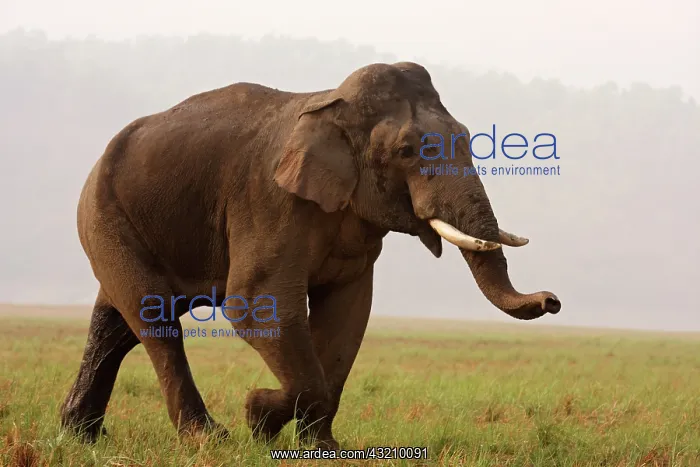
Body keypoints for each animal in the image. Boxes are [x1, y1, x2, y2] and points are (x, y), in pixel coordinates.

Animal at [60, 61, 561, 450]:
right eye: (405, 151)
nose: (552, 301)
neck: (333, 105)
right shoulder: (269, 200)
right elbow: (257, 304)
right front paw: (257, 417)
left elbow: (347, 313)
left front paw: (321, 446)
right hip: (104, 215)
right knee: (155, 318)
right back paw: (206, 439)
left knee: (117, 326)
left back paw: (78, 436)